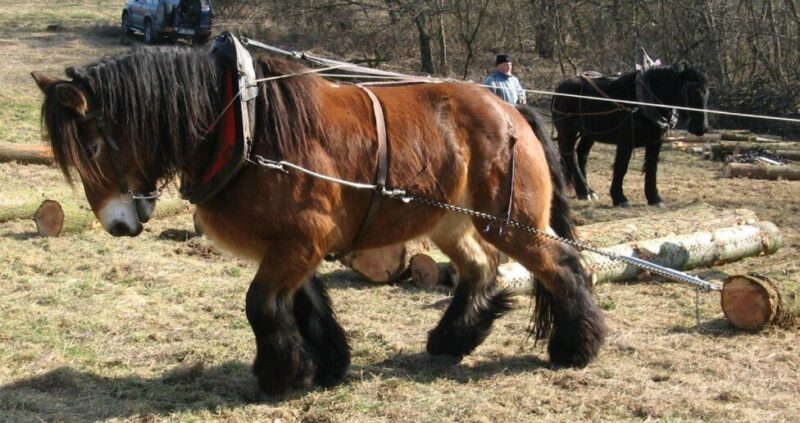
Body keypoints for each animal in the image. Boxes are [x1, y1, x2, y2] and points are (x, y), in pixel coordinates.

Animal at [32, 47, 608, 398]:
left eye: (95, 147)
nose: (116, 223)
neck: (248, 126)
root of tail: (511, 112)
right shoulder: (291, 245)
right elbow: (305, 304)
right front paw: (326, 365)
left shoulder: (300, 241)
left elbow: (262, 305)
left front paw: (279, 376)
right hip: (450, 218)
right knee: (481, 268)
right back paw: (453, 339)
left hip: (510, 221)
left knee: (562, 265)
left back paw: (575, 347)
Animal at [552, 63, 708, 208]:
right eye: (691, 92)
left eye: (707, 93)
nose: (702, 128)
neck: (642, 101)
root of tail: (560, 87)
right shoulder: (625, 141)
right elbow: (621, 167)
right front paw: (620, 198)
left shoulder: (655, 142)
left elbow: (651, 168)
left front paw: (654, 198)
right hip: (568, 132)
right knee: (570, 157)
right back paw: (583, 191)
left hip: (589, 134)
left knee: (581, 155)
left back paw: (587, 191)